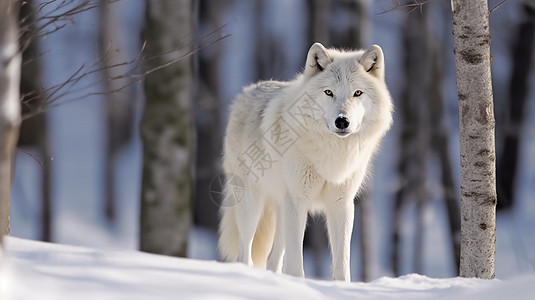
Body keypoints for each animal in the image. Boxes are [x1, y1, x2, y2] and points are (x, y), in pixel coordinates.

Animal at [218, 42, 394, 282]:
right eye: (329, 92)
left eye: (357, 93)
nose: (342, 121)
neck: (332, 152)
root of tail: (246, 92)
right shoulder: (298, 200)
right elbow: (295, 265)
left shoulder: (341, 204)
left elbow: (342, 264)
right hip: (252, 206)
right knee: (246, 252)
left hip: (281, 210)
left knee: (273, 260)